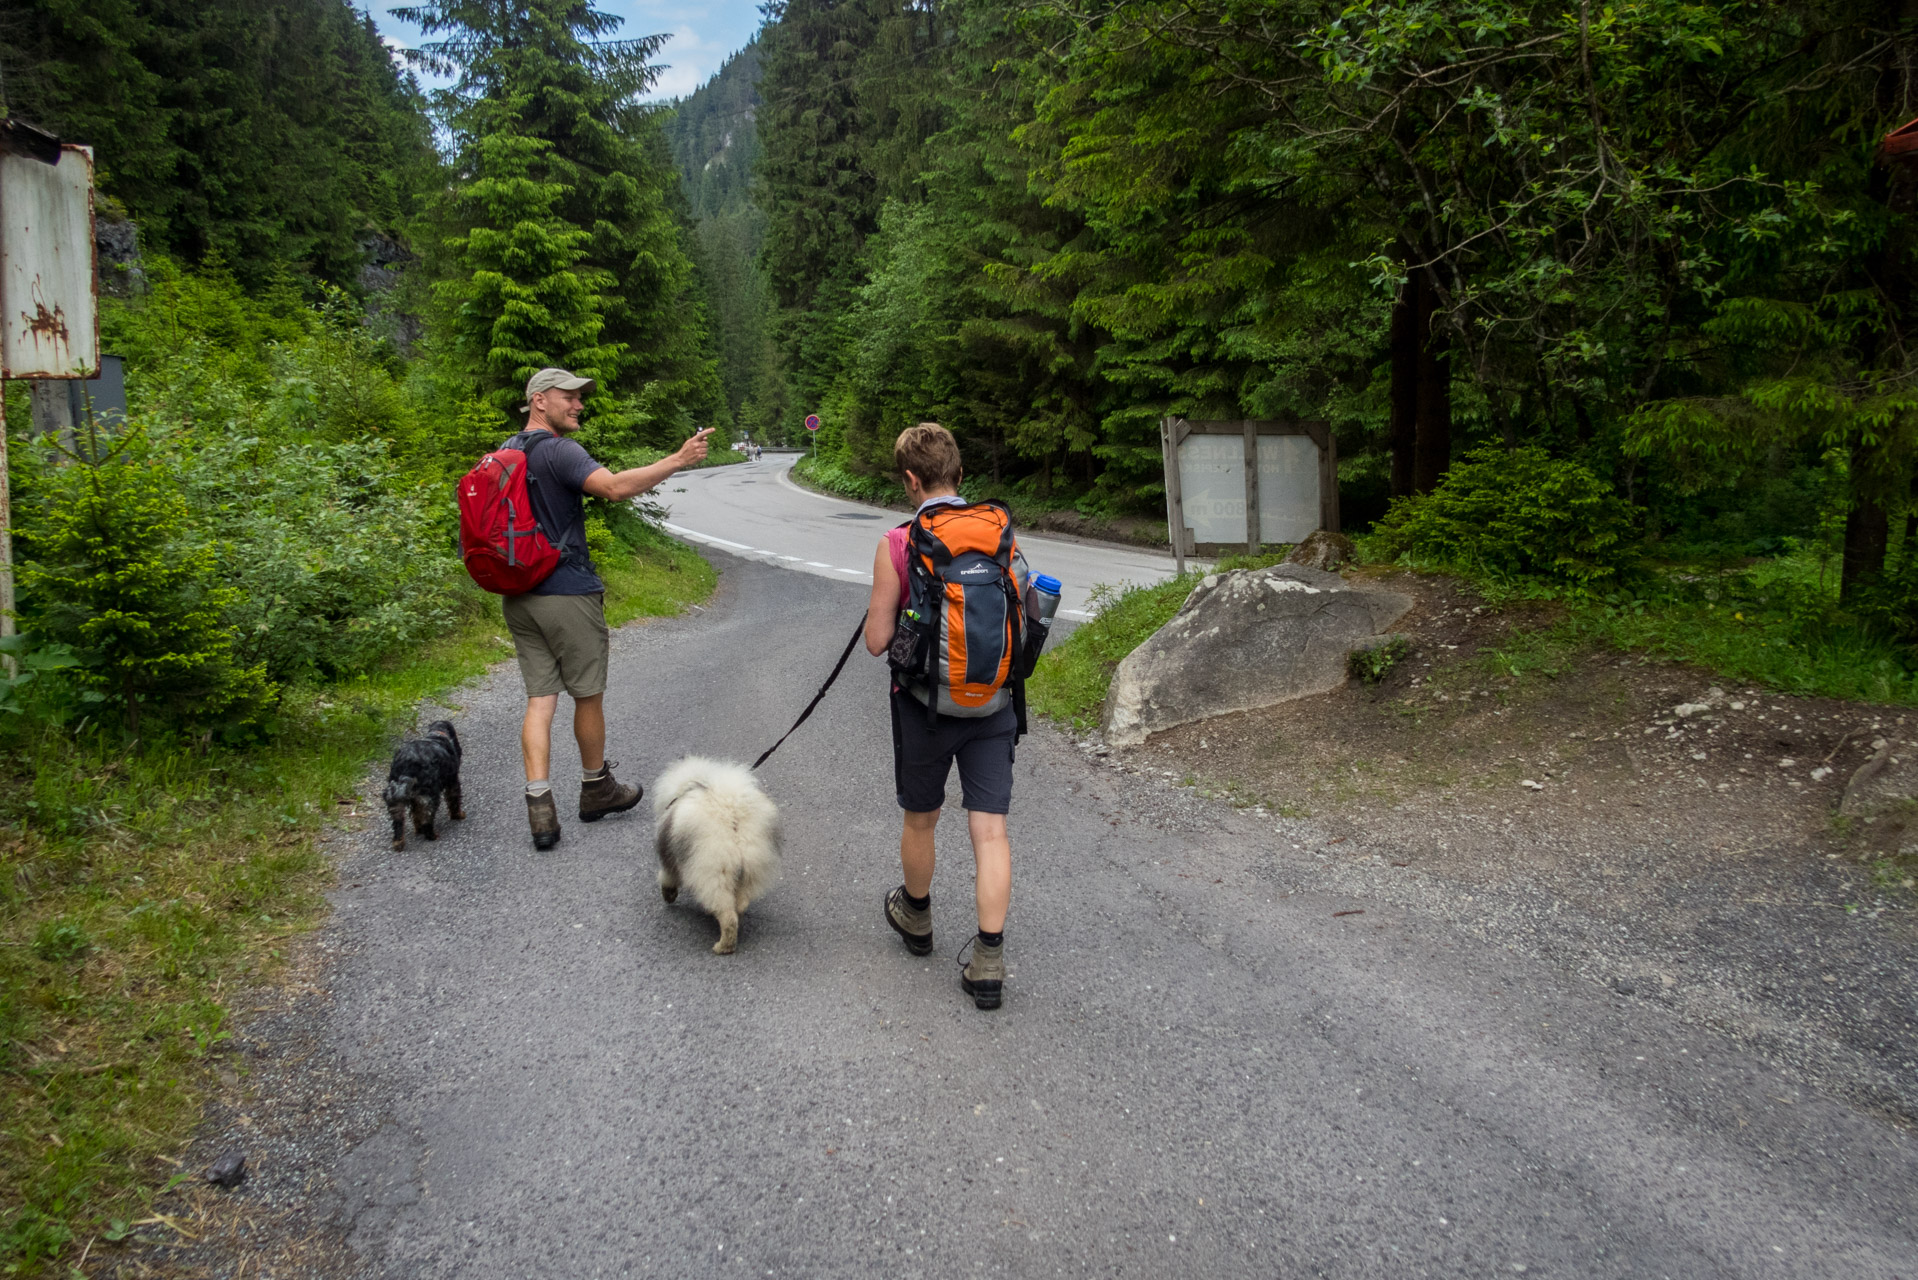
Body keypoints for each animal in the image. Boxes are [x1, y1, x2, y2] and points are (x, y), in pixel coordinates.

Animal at [383, 721, 466, 852]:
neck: (437, 735)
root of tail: (407, 766)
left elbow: (416, 815)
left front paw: (418, 829)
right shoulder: (452, 781)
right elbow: (454, 800)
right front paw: (458, 815)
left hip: (395, 797)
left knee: (398, 823)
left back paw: (399, 842)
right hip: (429, 796)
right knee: (427, 819)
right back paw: (432, 835)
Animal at [655, 756, 782, 955]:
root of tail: (732, 816)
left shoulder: (670, 857)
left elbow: (667, 877)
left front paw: (669, 895)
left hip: (714, 872)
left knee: (728, 916)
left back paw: (723, 946)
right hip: (751, 868)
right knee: (739, 904)